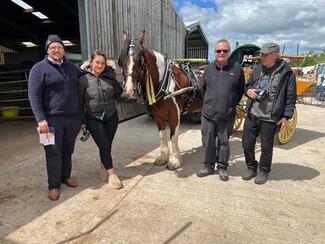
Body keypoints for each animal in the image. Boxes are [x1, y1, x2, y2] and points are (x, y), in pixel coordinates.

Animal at [117, 31, 201, 170]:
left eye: (140, 59)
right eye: (122, 60)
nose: (129, 91)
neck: (165, 80)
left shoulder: (175, 115)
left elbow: (173, 137)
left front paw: (175, 160)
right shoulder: (158, 116)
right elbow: (163, 136)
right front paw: (163, 157)